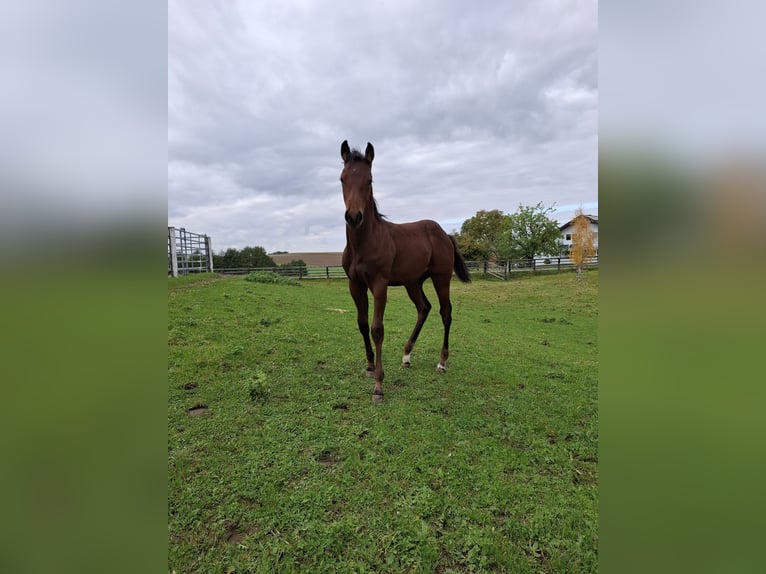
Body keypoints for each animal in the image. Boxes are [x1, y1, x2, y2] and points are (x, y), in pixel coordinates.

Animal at [339, 140, 471, 402]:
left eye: (369, 180)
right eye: (342, 179)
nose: (354, 217)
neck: (364, 243)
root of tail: (444, 234)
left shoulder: (379, 284)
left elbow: (377, 328)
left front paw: (378, 385)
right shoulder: (355, 284)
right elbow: (362, 323)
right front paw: (369, 367)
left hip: (441, 278)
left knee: (445, 312)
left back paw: (442, 362)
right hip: (413, 282)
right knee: (424, 308)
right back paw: (407, 355)